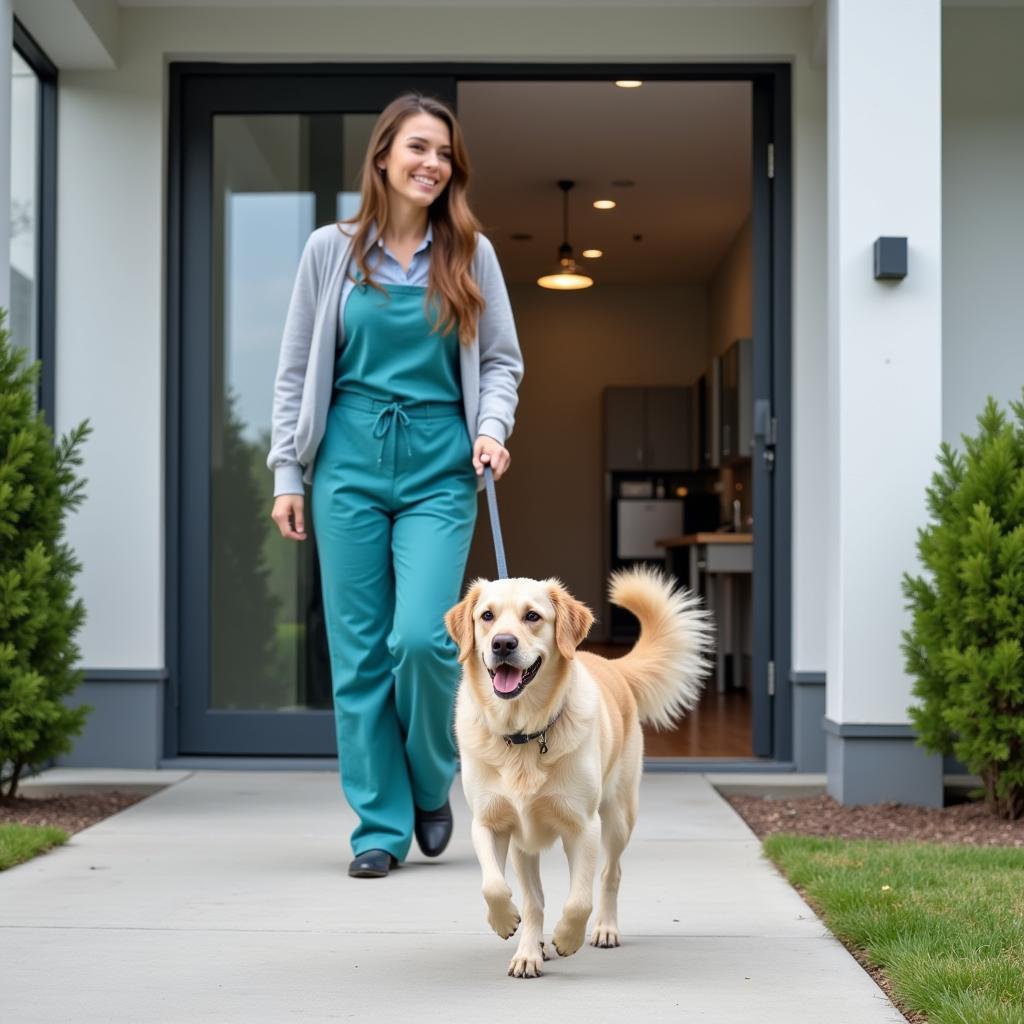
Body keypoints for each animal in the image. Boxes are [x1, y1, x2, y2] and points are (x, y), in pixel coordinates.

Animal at [444, 569, 716, 974]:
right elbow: (495, 886)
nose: (503, 644)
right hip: (525, 846)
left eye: (532, 616)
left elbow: (579, 899)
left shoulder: (584, 826)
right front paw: (507, 923)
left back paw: (604, 928)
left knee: (610, 873)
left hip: (619, 816)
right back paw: (531, 949)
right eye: (487, 616)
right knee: (534, 898)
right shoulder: (489, 822)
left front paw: (568, 937)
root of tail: (612, 664)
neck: (524, 734)